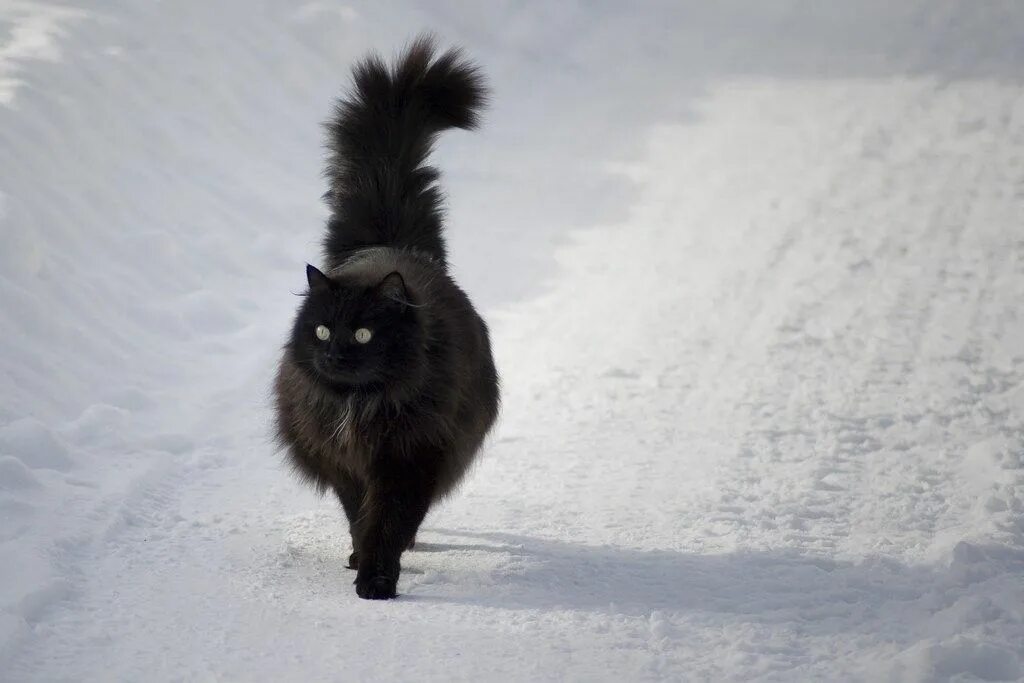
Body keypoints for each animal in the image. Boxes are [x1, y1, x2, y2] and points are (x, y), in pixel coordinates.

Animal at [270, 37, 497, 602]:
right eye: (323, 330)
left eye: (363, 333)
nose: (333, 353)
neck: (363, 405)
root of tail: (391, 245)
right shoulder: (341, 460)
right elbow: (359, 514)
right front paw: (361, 560)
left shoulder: (412, 457)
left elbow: (390, 519)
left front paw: (377, 577)